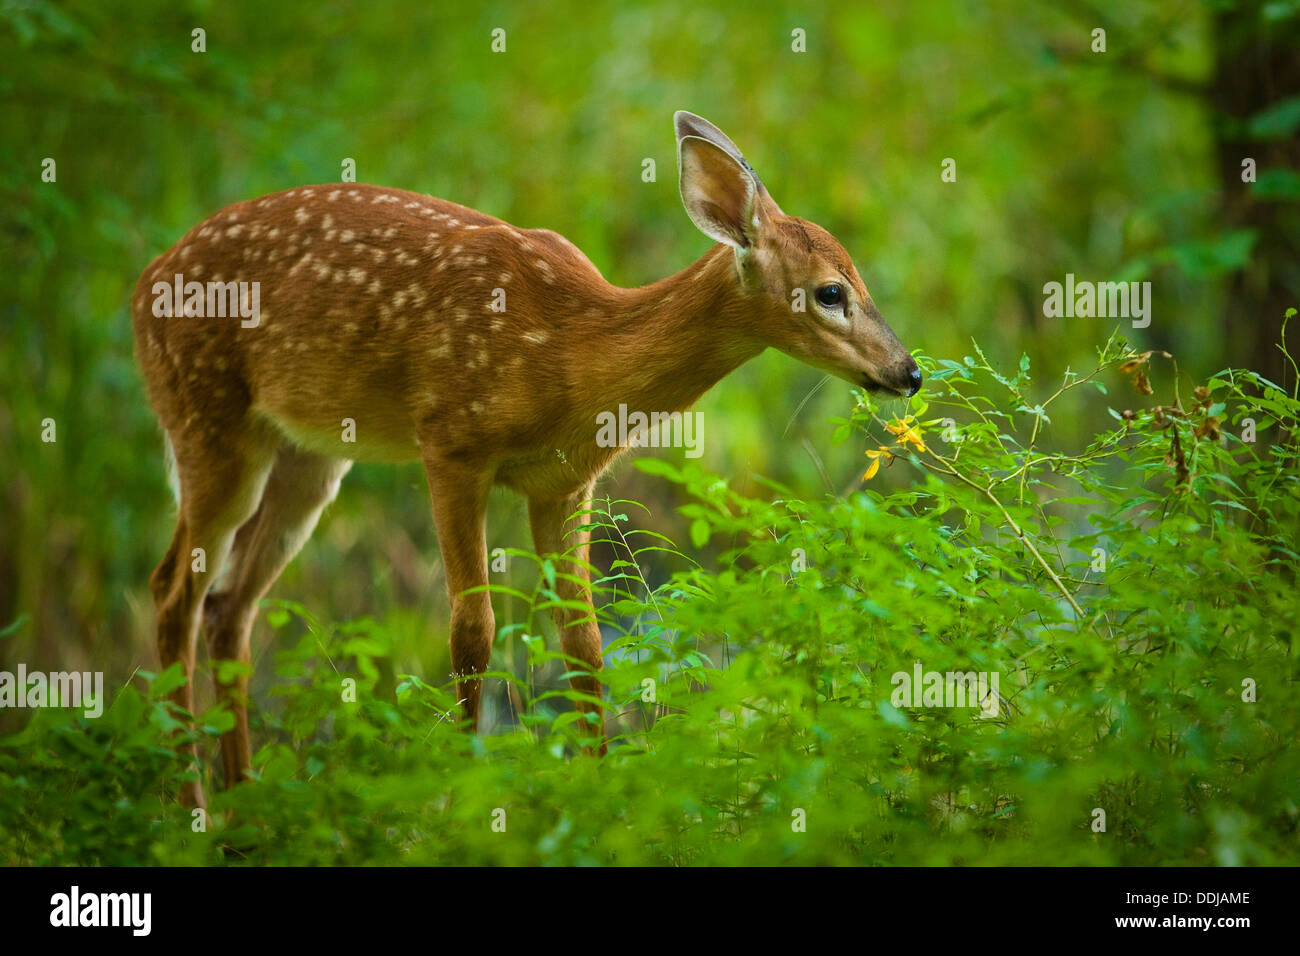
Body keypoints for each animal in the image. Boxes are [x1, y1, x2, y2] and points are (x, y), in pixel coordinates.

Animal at [131, 111, 921, 808]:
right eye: (831, 291)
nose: (908, 371)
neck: (571, 355)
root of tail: (141, 289)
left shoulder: (564, 483)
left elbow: (584, 640)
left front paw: (600, 795)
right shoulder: (450, 443)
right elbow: (472, 631)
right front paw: (461, 796)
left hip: (309, 457)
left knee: (230, 604)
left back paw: (243, 804)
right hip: (208, 422)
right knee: (172, 591)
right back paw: (196, 808)